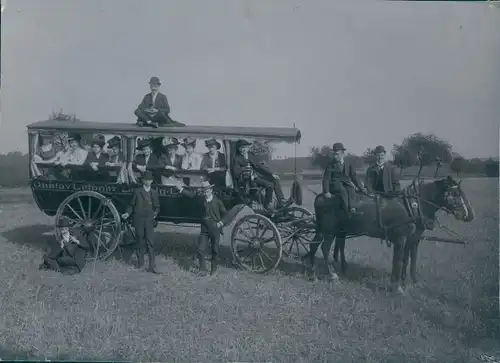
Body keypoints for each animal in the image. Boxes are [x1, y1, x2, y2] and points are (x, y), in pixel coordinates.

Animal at [302, 177, 474, 296]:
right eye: (455, 194)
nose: (469, 215)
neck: (411, 206)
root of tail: (322, 196)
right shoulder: (400, 239)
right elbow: (398, 261)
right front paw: (397, 287)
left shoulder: (412, 238)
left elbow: (408, 258)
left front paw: (408, 282)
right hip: (328, 230)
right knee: (320, 247)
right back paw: (324, 274)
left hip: (333, 230)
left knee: (322, 246)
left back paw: (321, 272)